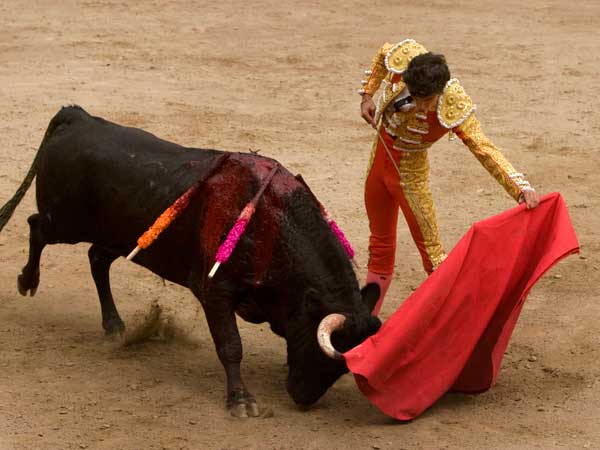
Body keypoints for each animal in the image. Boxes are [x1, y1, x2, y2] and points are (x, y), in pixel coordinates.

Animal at [0, 106, 380, 418]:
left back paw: (114, 325)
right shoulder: (216, 292)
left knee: (96, 259)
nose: (302, 398)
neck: (274, 226)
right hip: (64, 222)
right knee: (36, 227)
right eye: (325, 353)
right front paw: (240, 400)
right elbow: (231, 346)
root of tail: (77, 116)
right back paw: (27, 281)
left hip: (121, 237)